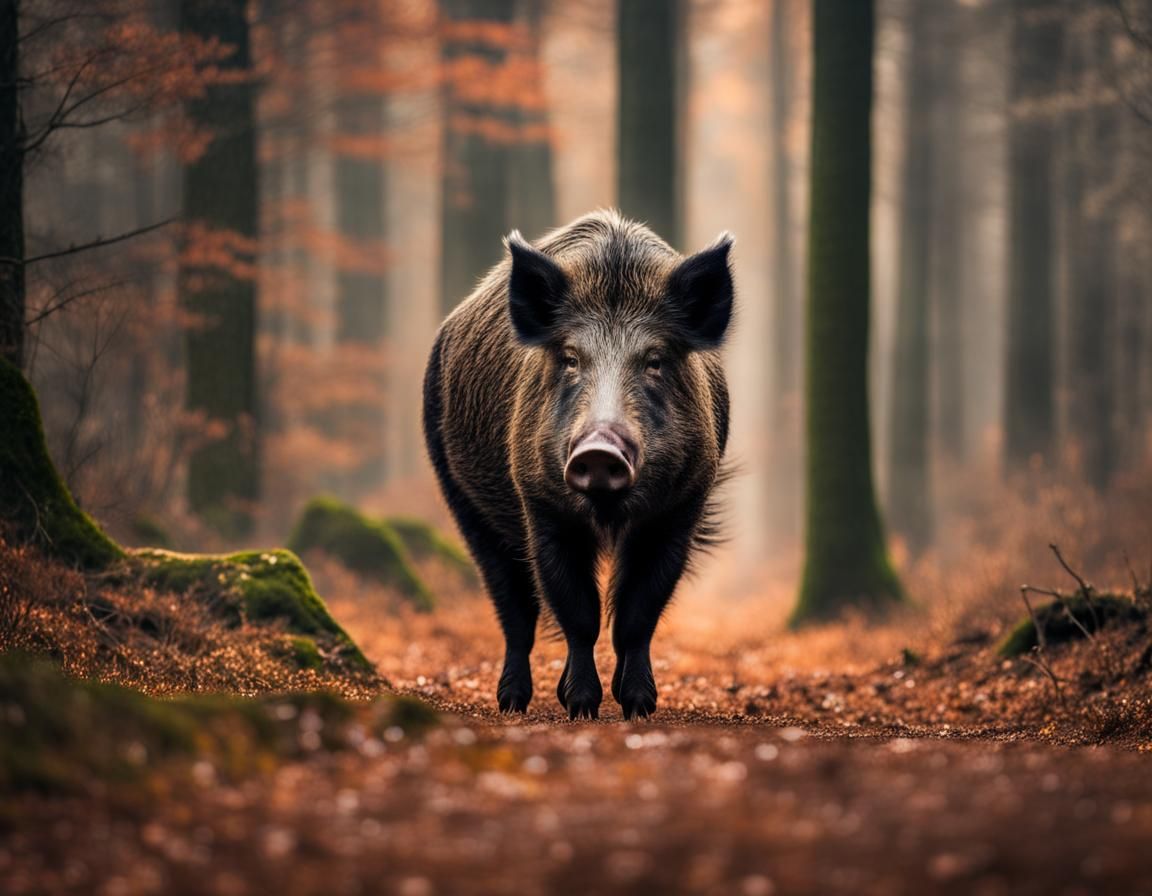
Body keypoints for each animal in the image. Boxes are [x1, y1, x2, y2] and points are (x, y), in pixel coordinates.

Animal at [423, 209, 733, 720]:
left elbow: (637, 613)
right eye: (570, 358)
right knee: (514, 608)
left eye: (655, 359)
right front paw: (583, 709)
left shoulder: (682, 505)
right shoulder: (539, 501)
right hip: (460, 497)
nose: (599, 450)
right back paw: (512, 703)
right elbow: (577, 611)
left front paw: (637, 707)